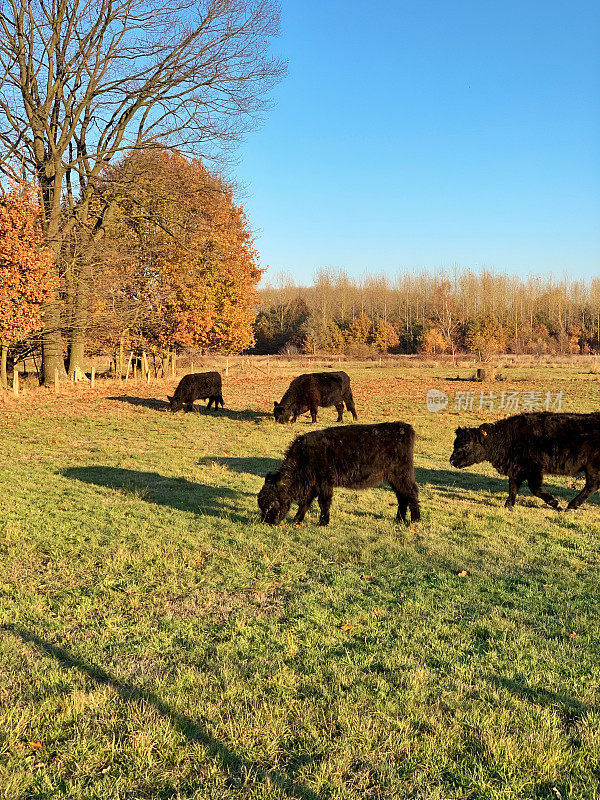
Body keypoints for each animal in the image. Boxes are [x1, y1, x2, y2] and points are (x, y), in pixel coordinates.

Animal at [258, 422, 422, 528]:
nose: (267, 522)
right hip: (394, 477)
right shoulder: (313, 484)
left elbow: (323, 503)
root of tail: (404, 427)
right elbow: (305, 502)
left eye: (271, 503)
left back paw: (415, 520)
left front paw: (323, 523)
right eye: (260, 504)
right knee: (402, 496)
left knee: (411, 493)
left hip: (402, 474)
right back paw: (399, 519)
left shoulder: (324, 483)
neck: (304, 456)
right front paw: (297, 520)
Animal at [448, 410, 600, 510]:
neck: (509, 437)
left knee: (592, 485)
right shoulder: (516, 469)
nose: (452, 461)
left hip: (592, 468)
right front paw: (508, 505)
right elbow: (512, 487)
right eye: (455, 443)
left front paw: (556, 504)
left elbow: (535, 489)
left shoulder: (534, 469)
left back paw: (571, 505)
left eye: (465, 445)